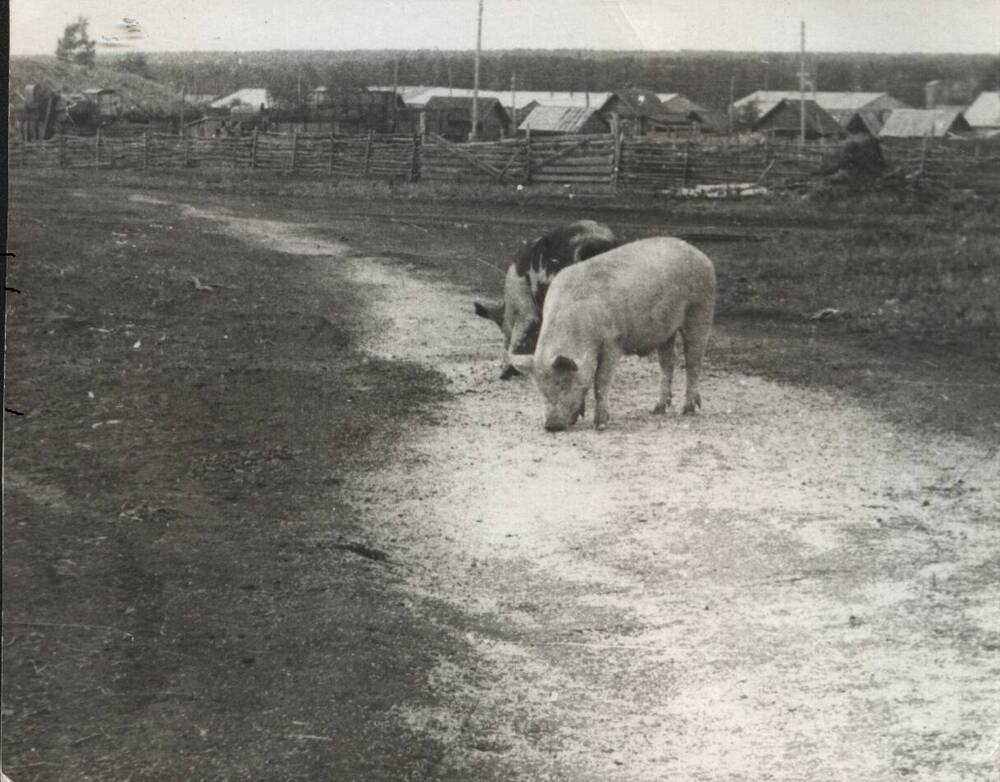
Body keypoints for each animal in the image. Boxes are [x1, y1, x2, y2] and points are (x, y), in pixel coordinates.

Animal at [512, 239, 716, 434]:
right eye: (541, 389)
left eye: (564, 384)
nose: (551, 426)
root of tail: (703, 256)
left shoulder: (613, 342)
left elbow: (600, 381)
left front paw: (600, 425)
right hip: (666, 331)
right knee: (667, 363)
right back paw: (657, 410)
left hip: (700, 310)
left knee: (693, 363)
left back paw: (687, 410)